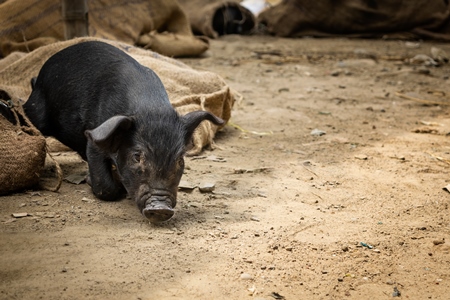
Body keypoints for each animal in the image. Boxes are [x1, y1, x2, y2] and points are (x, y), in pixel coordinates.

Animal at [23, 40, 224, 223]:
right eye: (137, 156)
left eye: (180, 160)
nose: (161, 208)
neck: (151, 109)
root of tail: (38, 76)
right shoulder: (94, 139)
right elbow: (105, 186)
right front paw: (99, 183)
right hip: (37, 110)